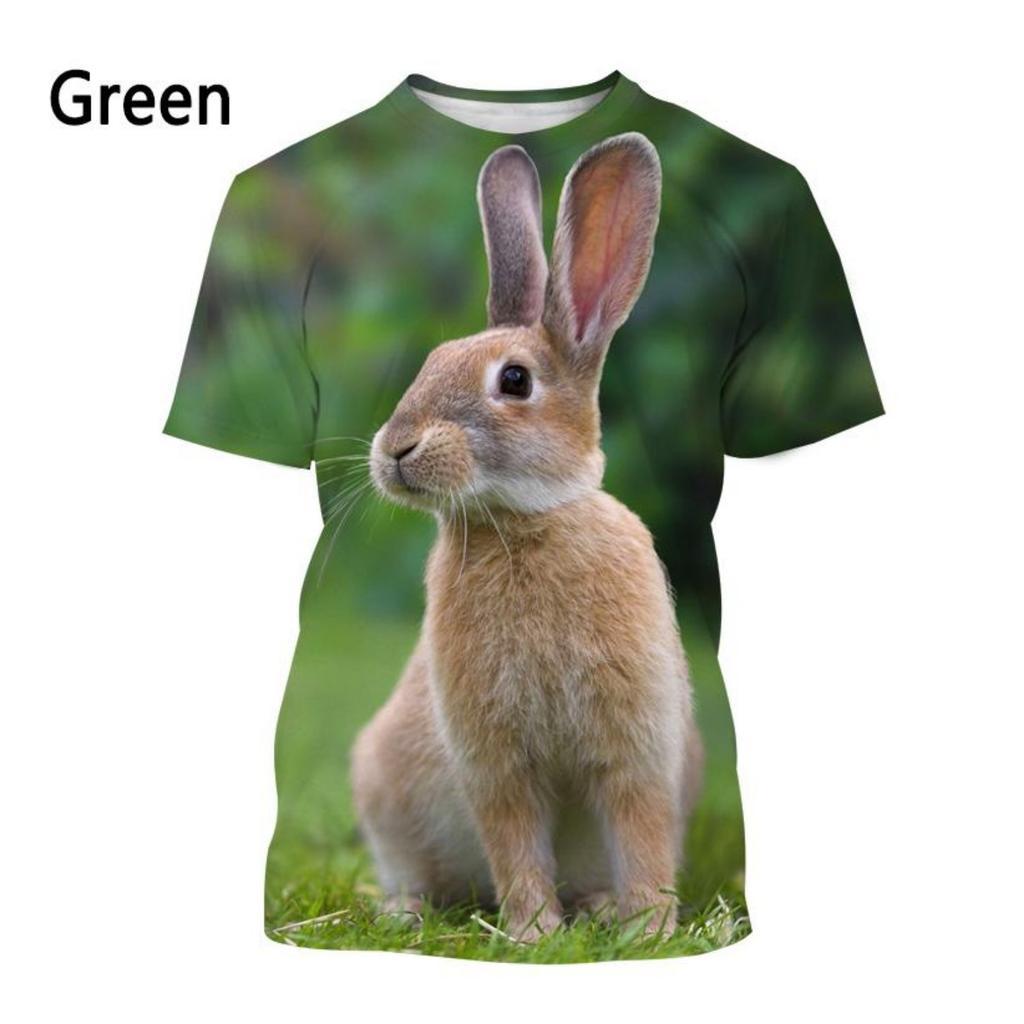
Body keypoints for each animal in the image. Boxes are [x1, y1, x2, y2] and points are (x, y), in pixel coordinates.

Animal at [351, 133, 703, 941]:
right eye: (431, 361)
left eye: (514, 381)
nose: (395, 450)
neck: (524, 521)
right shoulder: (495, 760)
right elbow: (514, 841)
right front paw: (535, 933)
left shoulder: (637, 746)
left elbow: (640, 831)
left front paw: (648, 928)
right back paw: (405, 912)